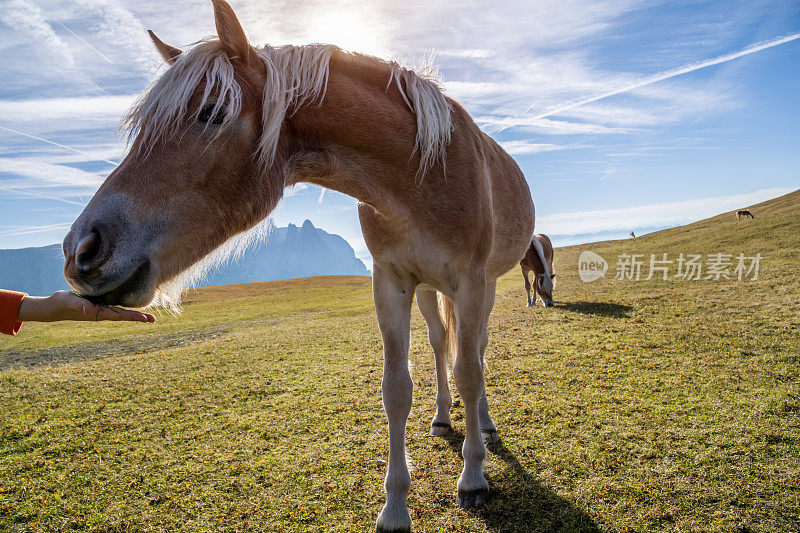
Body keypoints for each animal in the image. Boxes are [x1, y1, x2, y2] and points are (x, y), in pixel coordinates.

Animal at [61, 2, 536, 528]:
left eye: (211, 113)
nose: (81, 249)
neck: (423, 172)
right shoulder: (390, 281)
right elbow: (397, 389)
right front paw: (394, 506)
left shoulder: (470, 283)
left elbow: (471, 373)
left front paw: (473, 478)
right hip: (430, 289)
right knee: (439, 345)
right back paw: (442, 416)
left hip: (481, 287)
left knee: (476, 353)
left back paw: (483, 426)